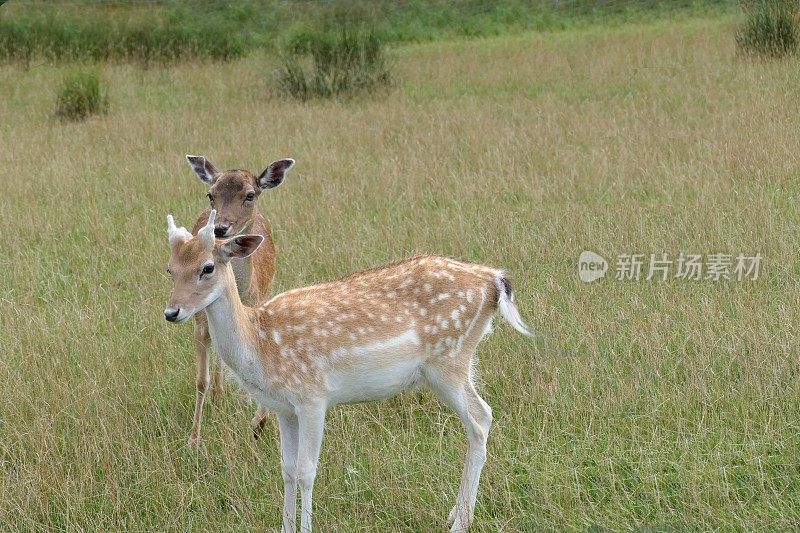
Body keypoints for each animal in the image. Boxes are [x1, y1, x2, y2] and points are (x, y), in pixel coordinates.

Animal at [163, 210, 536, 528]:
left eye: (207, 267)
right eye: (170, 268)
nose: (171, 312)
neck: (260, 345)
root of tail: (495, 280)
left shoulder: (312, 397)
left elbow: (307, 471)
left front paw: (306, 527)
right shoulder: (283, 408)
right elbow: (286, 469)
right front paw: (285, 526)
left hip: (449, 360)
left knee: (481, 417)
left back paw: (460, 522)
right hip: (456, 362)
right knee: (482, 417)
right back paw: (456, 514)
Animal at [184, 155, 294, 444]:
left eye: (250, 195)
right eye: (210, 194)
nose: (220, 228)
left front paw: (258, 422)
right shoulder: (199, 320)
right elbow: (200, 380)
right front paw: (194, 439)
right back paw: (218, 394)